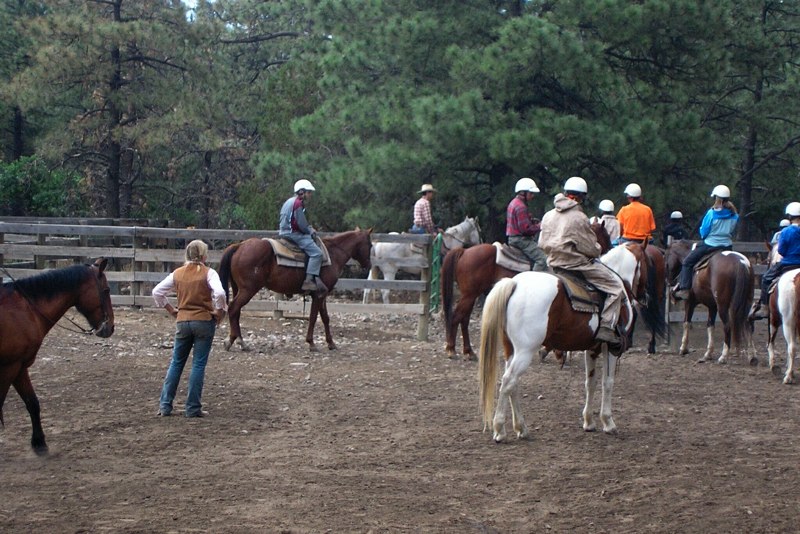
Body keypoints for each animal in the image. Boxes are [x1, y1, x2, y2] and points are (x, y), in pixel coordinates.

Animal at [0, 258, 114, 454]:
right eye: (106, 290)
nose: (111, 327)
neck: (25, 308)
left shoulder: (20, 367)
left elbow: (32, 403)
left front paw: (39, 443)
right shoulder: (9, 367)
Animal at [218, 229, 373, 352]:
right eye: (370, 245)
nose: (369, 265)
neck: (332, 254)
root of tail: (239, 246)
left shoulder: (322, 295)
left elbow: (325, 318)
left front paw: (331, 343)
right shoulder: (318, 295)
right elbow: (313, 317)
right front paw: (311, 343)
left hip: (238, 288)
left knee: (236, 312)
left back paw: (237, 341)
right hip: (248, 290)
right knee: (233, 308)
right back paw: (236, 342)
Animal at [441, 222, 613, 360]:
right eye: (605, 234)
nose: (609, 248)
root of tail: (464, 251)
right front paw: (552, 352)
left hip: (471, 295)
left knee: (464, 319)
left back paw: (468, 351)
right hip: (470, 295)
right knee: (457, 317)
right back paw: (451, 349)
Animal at [478, 245, 641, 443]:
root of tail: (514, 284)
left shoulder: (591, 349)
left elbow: (591, 382)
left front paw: (589, 422)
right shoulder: (610, 348)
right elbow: (607, 382)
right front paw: (608, 422)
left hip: (511, 350)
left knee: (512, 384)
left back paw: (521, 428)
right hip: (525, 351)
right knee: (509, 381)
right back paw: (500, 429)